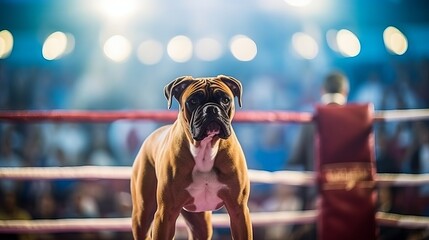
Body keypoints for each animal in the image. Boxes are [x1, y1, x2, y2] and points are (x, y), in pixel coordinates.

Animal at [130, 75, 251, 240]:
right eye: (193, 101)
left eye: (225, 99)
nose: (211, 109)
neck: (205, 149)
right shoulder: (165, 214)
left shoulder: (238, 210)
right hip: (142, 215)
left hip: (201, 223)